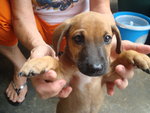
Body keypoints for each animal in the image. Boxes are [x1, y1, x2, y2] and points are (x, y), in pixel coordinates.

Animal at [18, 11, 150, 113]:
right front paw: (36, 62)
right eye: (78, 38)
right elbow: (52, 60)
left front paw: (141, 57)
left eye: (107, 38)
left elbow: (124, 54)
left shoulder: (108, 75)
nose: (96, 68)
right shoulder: (63, 78)